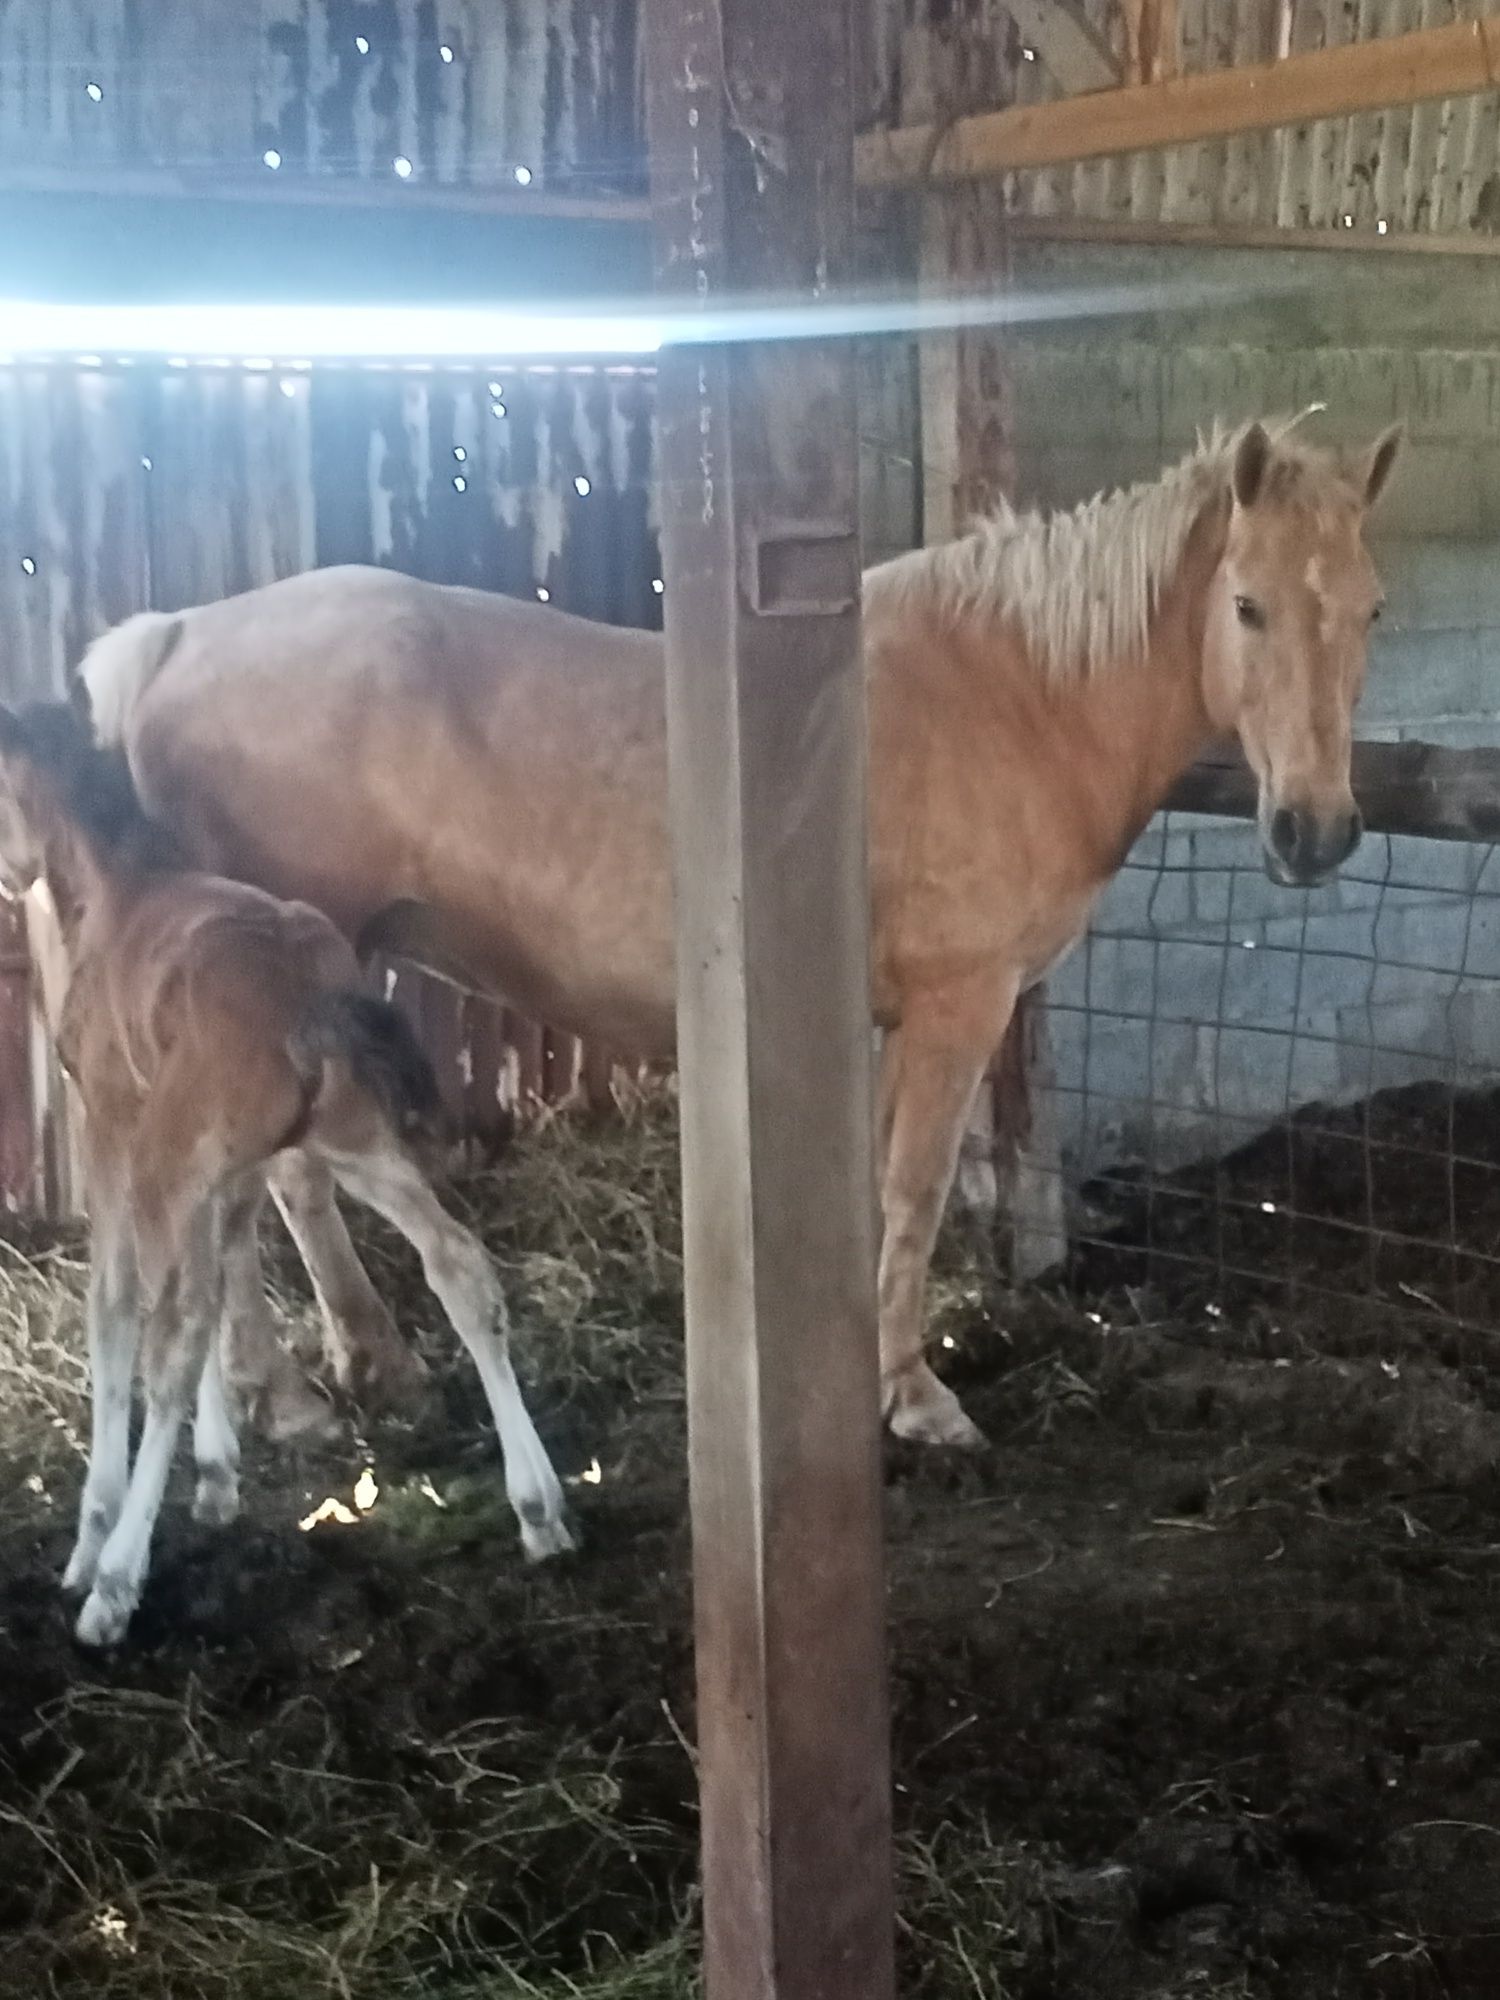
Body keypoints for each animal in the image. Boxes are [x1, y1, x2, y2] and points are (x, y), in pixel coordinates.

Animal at [0, 704, 576, 1640]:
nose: (12, 879)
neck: (120, 892)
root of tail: (310, 992)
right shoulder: (236, 1167)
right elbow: (224, 1283)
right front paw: (217, 1477)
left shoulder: (116, 1130)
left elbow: (119, 1312)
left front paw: (95, 1538)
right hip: (359, 1147)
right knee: (458, 1263)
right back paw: (541, 1512)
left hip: (169, 1164)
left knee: (169, 1336)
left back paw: (114, 1584)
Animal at [79, 426, 1400, 1456]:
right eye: (1248, 604)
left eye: (1371, 608)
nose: (1316, 829)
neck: (1015, 692)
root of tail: (177, 633)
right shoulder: (960, 1003)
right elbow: (916, 1187)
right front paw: (916, 1397)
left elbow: (877, 1188)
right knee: (270, 1178)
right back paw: (306, 1387)